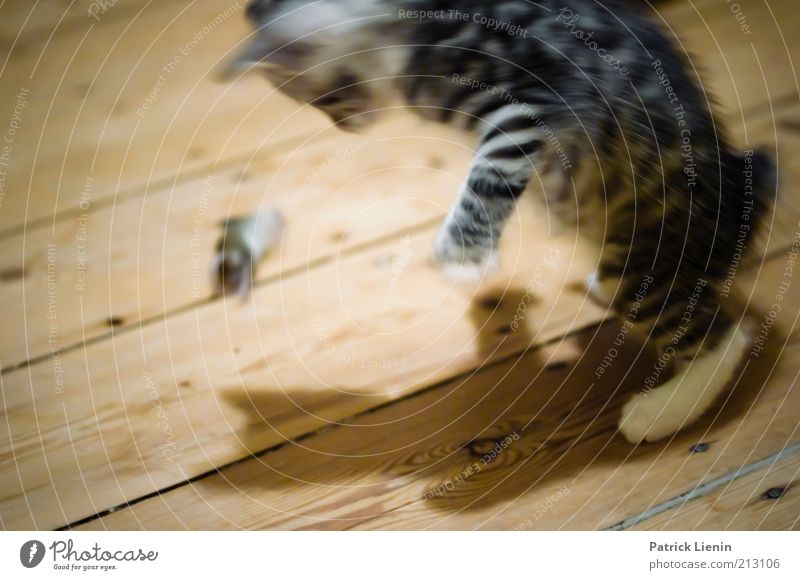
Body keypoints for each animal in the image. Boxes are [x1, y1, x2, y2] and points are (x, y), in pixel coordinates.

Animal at [219, 1, 776, 444]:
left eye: (325, 100)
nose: (344, 127)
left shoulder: (522, 103)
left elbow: (486, 180)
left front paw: (461, 258)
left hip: (645, 256)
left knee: (722, 334)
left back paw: (660, 413)